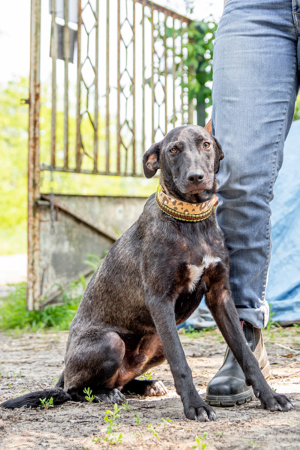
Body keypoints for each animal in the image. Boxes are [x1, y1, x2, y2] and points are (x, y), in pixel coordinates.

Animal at [1, 124, 292, 422]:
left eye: (206, 144)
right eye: (173, 150)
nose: (196, 177)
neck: (191, 221)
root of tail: (65, 372)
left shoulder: (220, 296)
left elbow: (246, 354)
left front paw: (270, 396)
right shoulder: (160, 300)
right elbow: (181, 362)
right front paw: (195, 406)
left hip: (156, 343)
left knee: (121, 381)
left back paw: (146, 385)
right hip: (111, 341)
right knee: (77, 390)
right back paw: (106, 394)